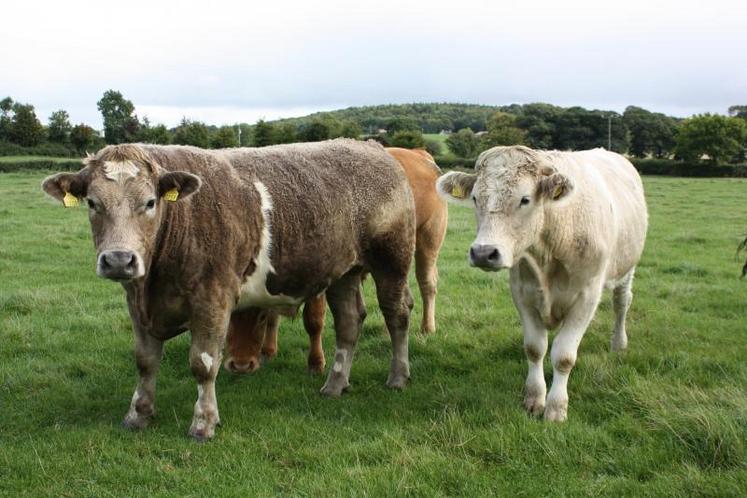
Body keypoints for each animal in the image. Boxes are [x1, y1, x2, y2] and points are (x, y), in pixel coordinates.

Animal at [41, 140, 418, 440]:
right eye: (92, 203)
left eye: (149, 202)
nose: (119, 259)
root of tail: (370, 147)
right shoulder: (138, 303)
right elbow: (145, 361)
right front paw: (138, 415)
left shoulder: (213, 299)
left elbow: (203, 363)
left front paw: (204, 423)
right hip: (344, 273)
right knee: (349, 323)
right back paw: (335, 385)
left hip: (392, 259)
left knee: (396, 315)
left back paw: (398, 376)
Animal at [221, 147, 444, 374]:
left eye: (260, 317)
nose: (240, 364)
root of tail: (419, 153)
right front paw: (268, 350)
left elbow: (313, 320)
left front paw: (316, 363)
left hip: (426, 242)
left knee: (426, 285)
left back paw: (427, 327)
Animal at [438, 146, 648, 422]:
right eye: (474, 198)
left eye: (525, 199)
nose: (483, 253)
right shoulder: (522, 293)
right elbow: (535, 348)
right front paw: (534, 398)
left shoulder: (587, 295)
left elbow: (564, 356)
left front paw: (556, 408)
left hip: (627, 267)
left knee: (622, 303)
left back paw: (619, 343)